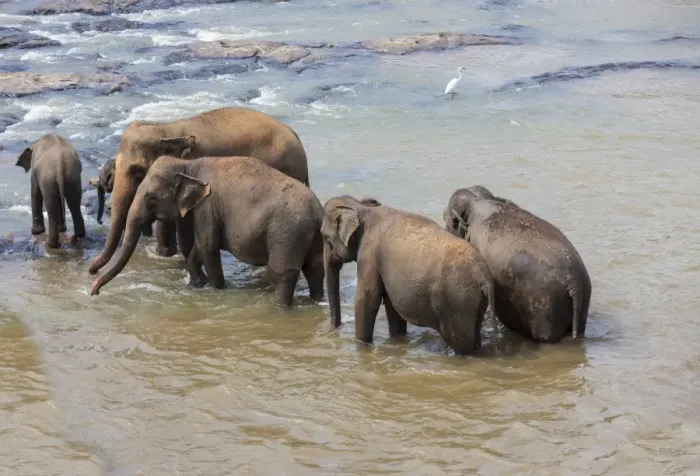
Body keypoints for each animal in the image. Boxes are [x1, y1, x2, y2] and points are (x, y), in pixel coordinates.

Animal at [90, 155, 325, 307]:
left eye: (151, 198)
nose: (93, 290)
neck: (188, 165)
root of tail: (318, 213)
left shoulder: (207, 206)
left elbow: (207, 246)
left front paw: (218, 289)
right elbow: (199, 248)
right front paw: (197, 284)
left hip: (287, 235)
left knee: (281, 273)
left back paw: (279, 307)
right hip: (310, 238)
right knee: (315, 269)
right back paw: (316, 301)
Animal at [322, 196, 495, 355]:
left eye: (324, 236)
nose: (334, 329)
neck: (362, 208)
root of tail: (484, 278)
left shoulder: (368, 255)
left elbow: (367, 299)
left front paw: (361, 346)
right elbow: (391, 305)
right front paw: (398, 339)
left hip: (457, 301)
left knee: (460, 343)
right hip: (473, 303)